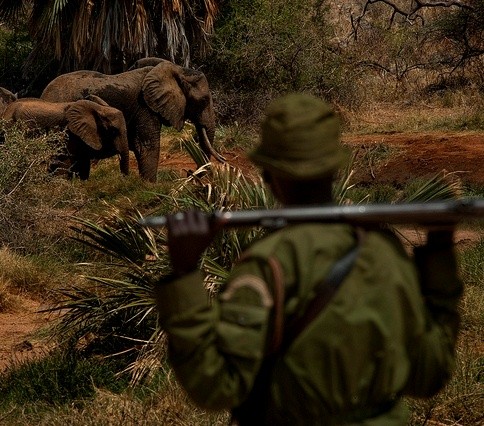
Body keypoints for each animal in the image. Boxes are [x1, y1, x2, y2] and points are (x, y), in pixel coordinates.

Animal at [1, 96, 130, 180]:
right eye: (113, 130)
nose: (123, 179)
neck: (98, 108)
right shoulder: (69, 134)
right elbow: (65, 164)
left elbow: (83, 165)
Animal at [40, 59, 225, 181]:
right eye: (203, 101)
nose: (190, 173)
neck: (176, 69)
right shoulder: (144, 107)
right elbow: (147, 145)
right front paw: (150, 187)